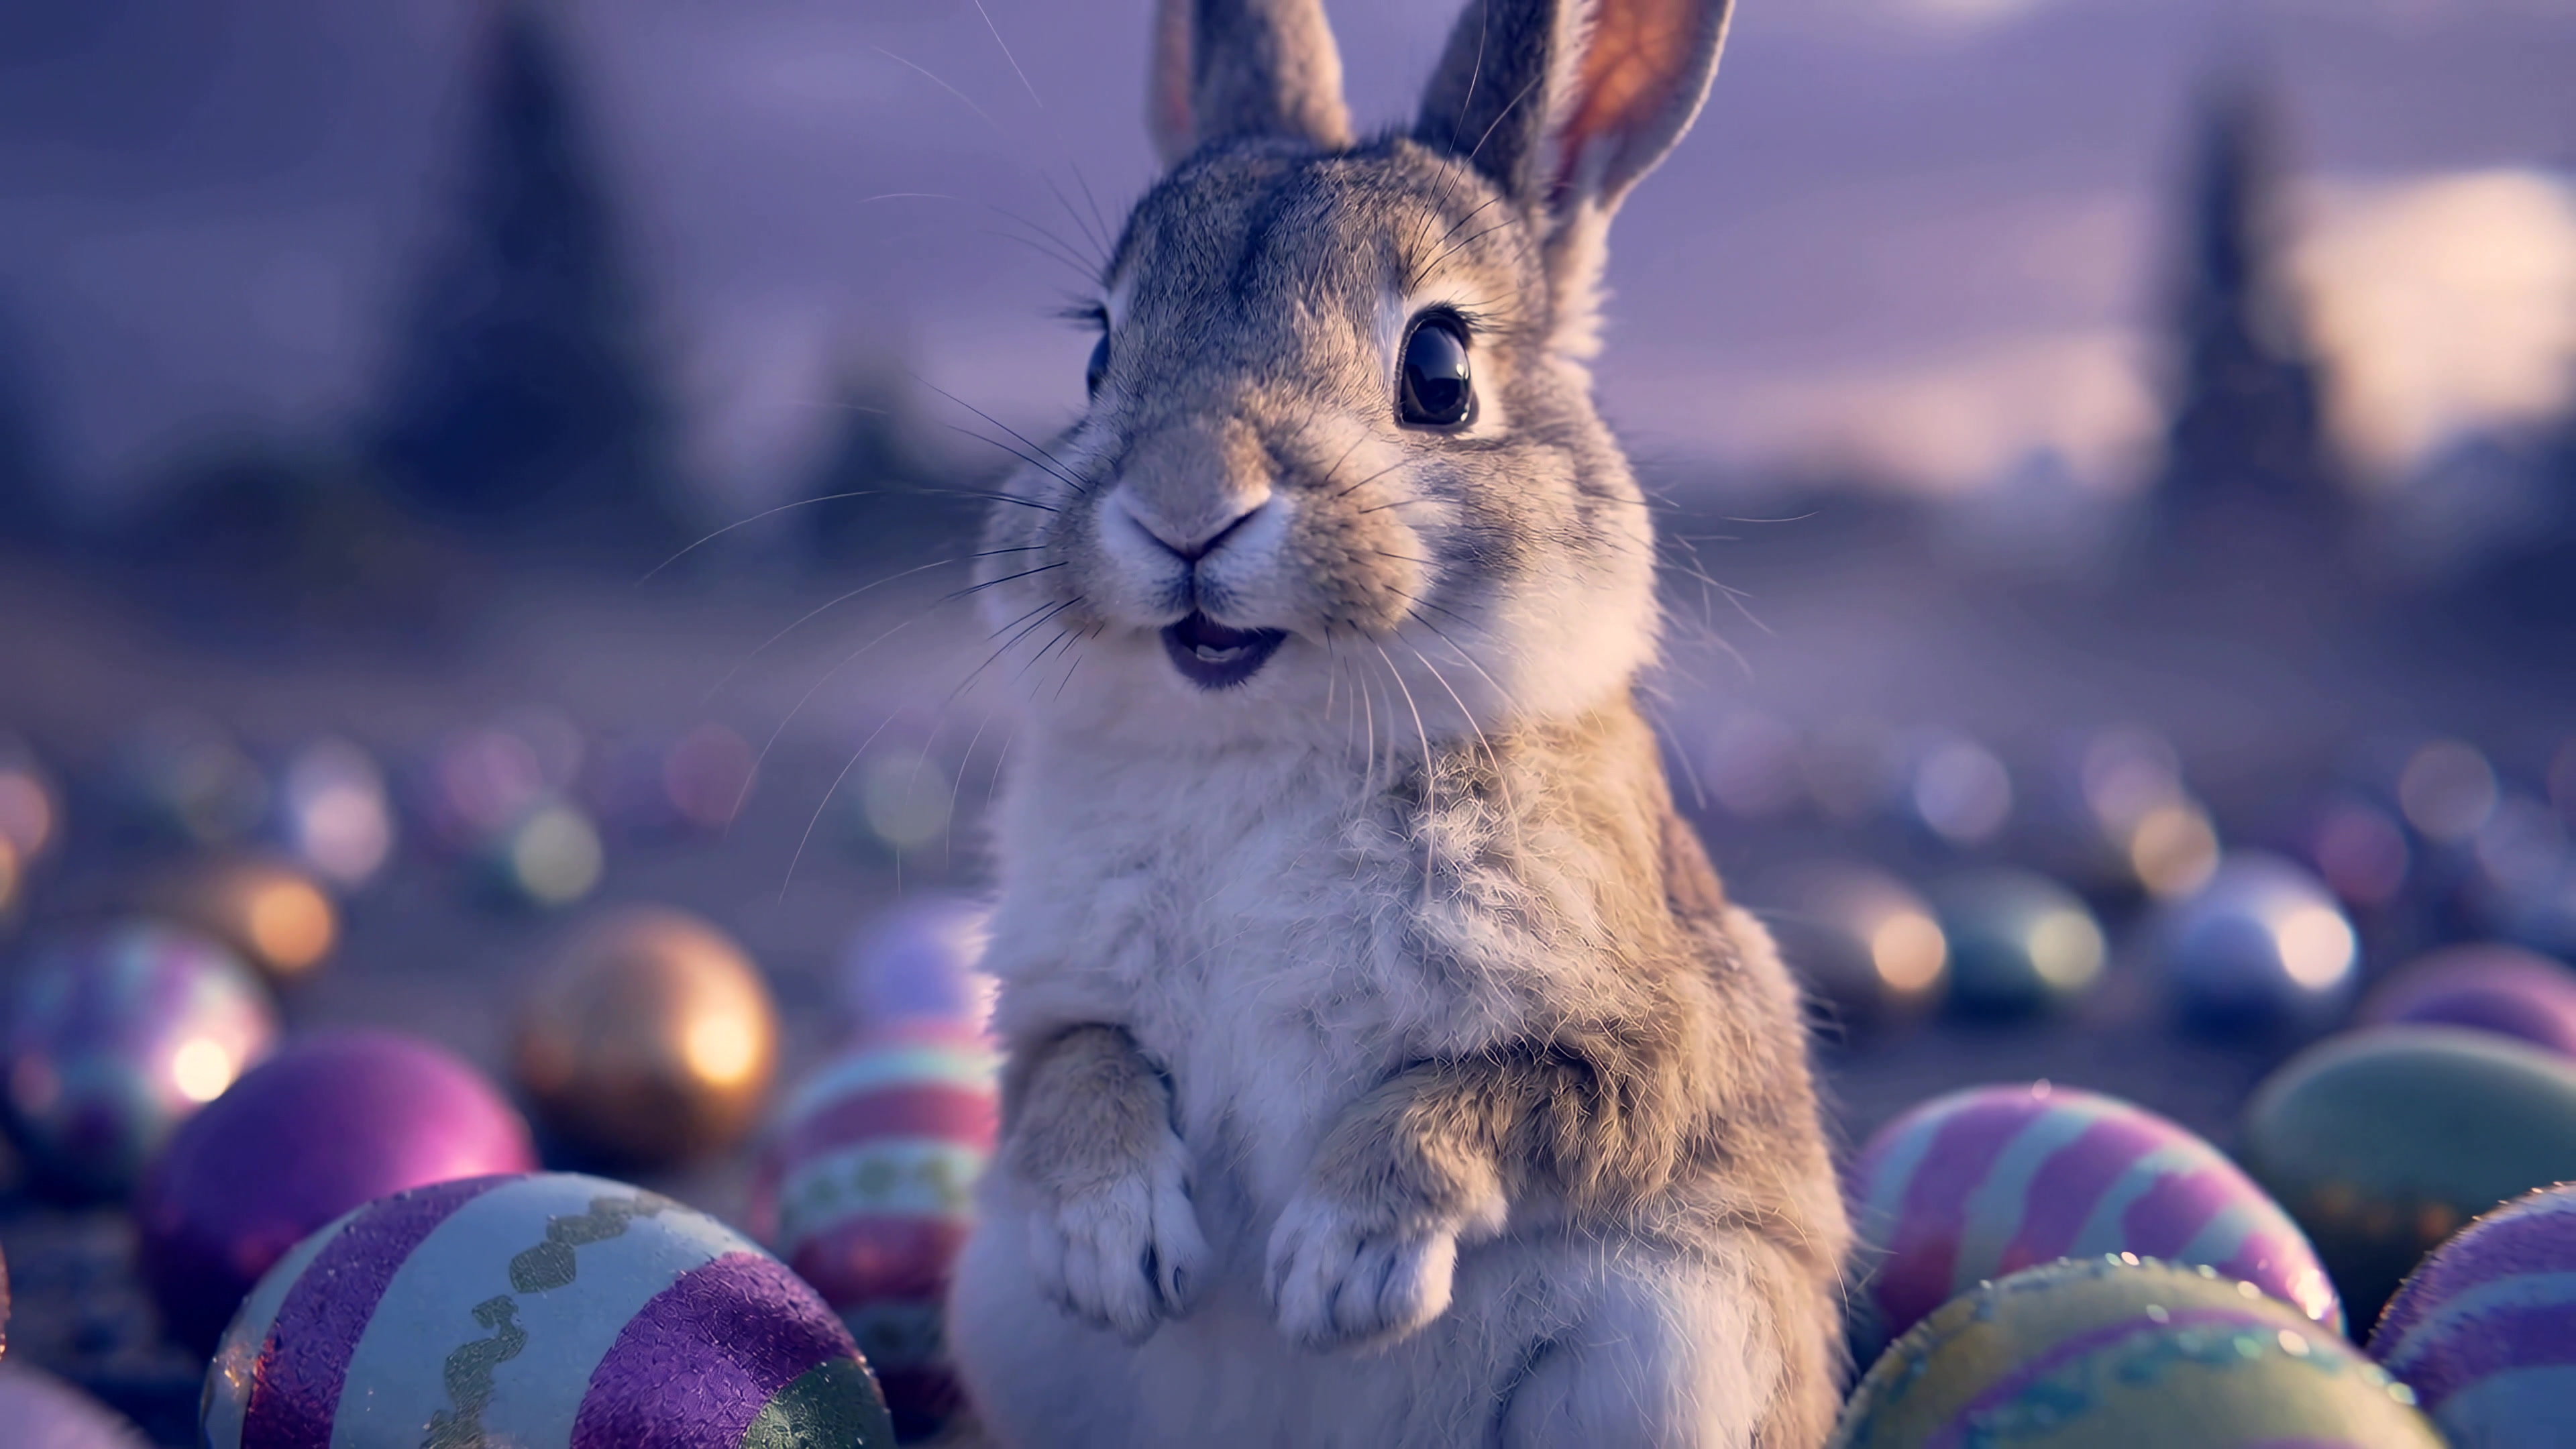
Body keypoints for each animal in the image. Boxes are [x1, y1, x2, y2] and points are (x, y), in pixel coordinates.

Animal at [942, 0, 1852, 1445]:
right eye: (1096, 354)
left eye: (1439, 369)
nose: (1183, 504)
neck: (1270, 741)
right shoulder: (1046, 1010)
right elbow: (1076, 1073)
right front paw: (1111, 1247)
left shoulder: (1648, 1042)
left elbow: (1505, 1092)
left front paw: (1341, 1268)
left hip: (1669, 1355)